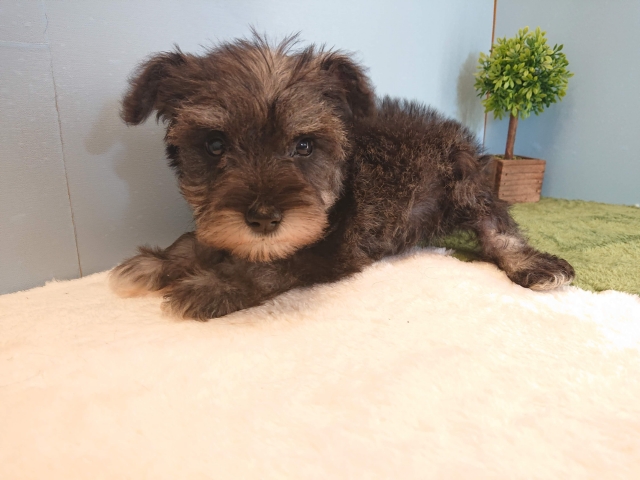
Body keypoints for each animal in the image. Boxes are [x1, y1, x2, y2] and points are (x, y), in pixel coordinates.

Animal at [110, 34, 575, 320]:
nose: (263, 220)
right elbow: (202, 237)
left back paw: (534, 264)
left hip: (463, 184)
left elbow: (272, 266)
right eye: (214, 144)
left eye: (304, 146)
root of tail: (455, 131)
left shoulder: (333, 250)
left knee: (497, 227)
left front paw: (214, 286)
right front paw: (162, 261)